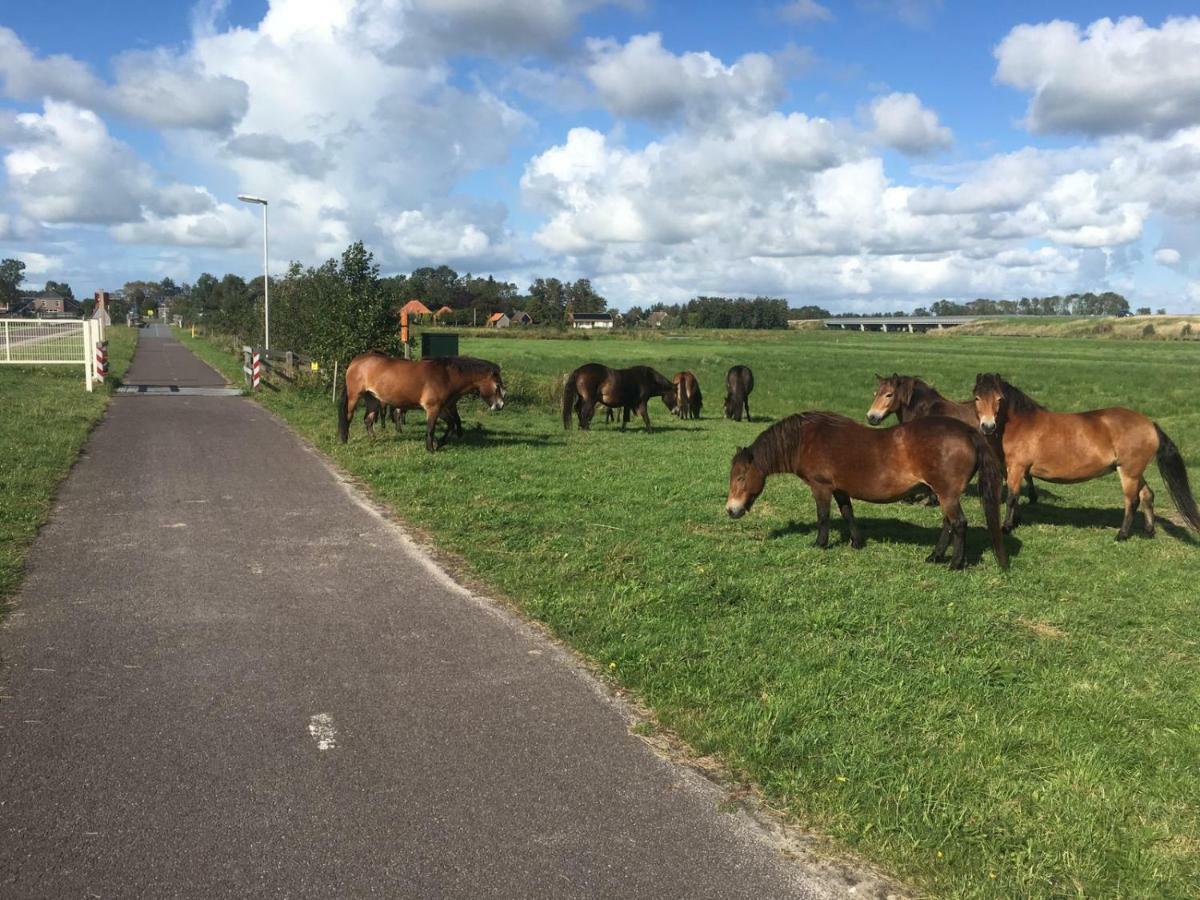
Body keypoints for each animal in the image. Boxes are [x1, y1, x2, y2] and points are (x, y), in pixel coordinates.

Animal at [340, 352, 504, 451]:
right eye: (497, 386)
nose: (500, 405)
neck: (446, 375)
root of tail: (356, 361)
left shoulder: (442, 408)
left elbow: (451, 424)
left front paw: (440, 443)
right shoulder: (433, 408)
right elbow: (430, 429)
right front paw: (430, 449)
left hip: (373, 398)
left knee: (368, 420)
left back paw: (373, 440)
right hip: (355, 396)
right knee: (348, 417)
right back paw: (344, 439)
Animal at [724, 410, 1008, 571]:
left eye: (740, 477)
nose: (731, 510)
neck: (806, 440)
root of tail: (968, 431)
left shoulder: (821, 487)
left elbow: (823, 517)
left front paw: (820, 543)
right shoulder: (840, 488)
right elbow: (848, 513)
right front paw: (856, 542)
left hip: (947, 494)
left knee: (958, 524)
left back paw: (954, 563)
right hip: (944, 493)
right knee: (948, 524)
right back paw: (935, 556)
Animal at [974, 374, 1200, 542]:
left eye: (999, 399)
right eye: (977, 397)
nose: (987, 426)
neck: (1020, 423)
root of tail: (1150, 424)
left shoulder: (1017, 468)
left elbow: (1012, 497)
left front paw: (1006, 527)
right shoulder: (1011, 470)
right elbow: (1015, 496)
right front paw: (1015, 522)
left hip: (1128, 472)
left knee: (1132, 500)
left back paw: (1122, 535)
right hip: (1135, 471)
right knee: (1147, 495)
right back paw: (1149, 531)